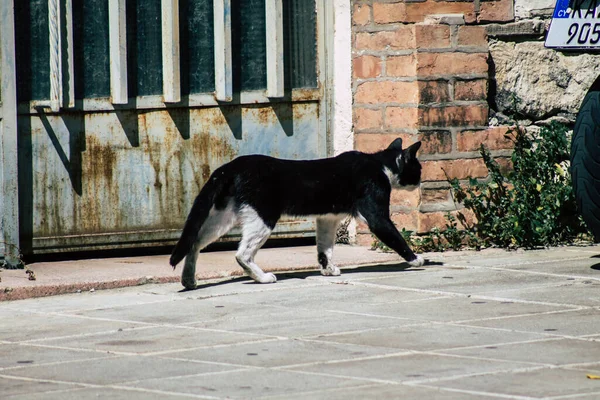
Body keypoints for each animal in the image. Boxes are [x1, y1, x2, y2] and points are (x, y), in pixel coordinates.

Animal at [171, 138, 424, 288]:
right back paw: (263, 278)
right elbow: (395, 236)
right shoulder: (375, 214)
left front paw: (328, 270)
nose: (421, 181)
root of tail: (229, 167)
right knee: (242, 254)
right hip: (263, 217)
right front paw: (417, 260)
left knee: (194, 242)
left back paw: (189, 280)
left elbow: (325, 248)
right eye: (418, 168)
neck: (380, 165)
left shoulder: (327, 218)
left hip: (223, 217)